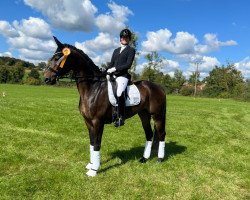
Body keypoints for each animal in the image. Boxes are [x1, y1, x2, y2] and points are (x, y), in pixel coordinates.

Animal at [44, 36, 167, 177]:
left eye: (57, 58)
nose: (46, 79)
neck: (92, 88)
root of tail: (159, 87)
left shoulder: (98, 122)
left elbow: (97, 144)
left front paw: (94, 170)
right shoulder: (88, 122)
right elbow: (92, 143)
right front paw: (91, 164)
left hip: (157, 115)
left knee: (161, 134)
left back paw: (159, 159)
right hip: (144, 115)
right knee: (149, 134)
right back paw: (144, 158)